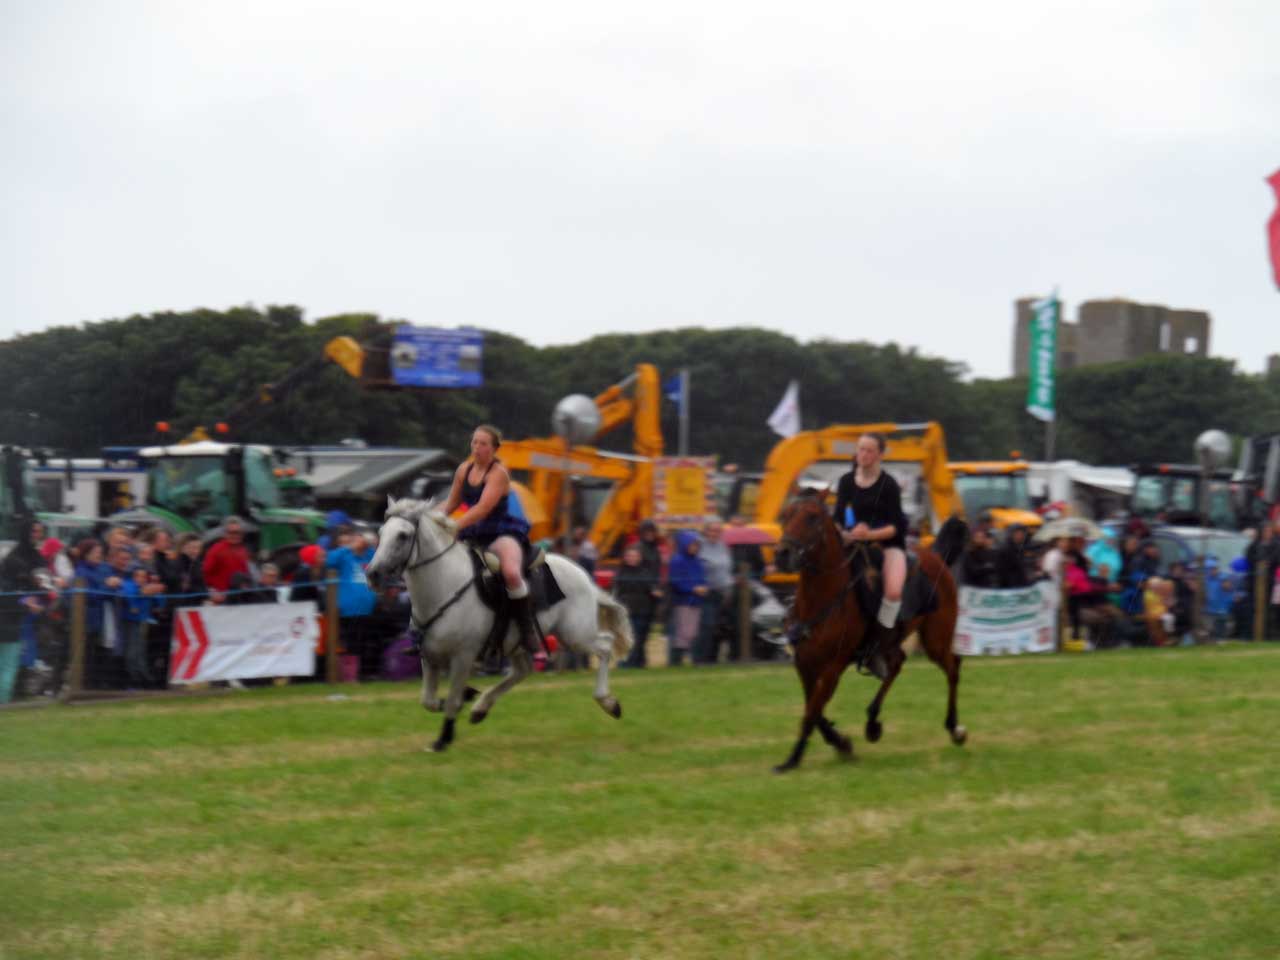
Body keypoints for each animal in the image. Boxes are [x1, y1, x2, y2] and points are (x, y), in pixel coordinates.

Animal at [768, 496, 967, 773]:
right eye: (785, 515)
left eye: (812, 517)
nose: (782, 554)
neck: (821, 599)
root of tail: (936, 557)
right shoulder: (804, 664)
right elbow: (814, 711)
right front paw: (841, 743)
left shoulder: (833, 668)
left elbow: (812, 712)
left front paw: (792, 760)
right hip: (894, 643)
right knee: (897, 664)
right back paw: (872, 723)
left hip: (935, 639)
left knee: (952, 667)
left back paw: (955, 728)